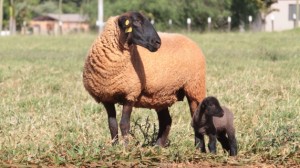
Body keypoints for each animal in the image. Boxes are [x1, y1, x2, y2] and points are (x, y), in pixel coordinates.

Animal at [82, 11, 206, 146]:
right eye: (136, 21)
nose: (158, 42)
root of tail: (189, 39)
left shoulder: (130, 93)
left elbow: (124, 124)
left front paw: (126, 147)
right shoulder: (106, 97)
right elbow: (112, 124)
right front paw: (114, 146)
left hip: (195, 87)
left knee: (195, 118)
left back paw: (198, 147)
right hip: (161, 95)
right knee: (166, 120)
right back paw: (158, 146)